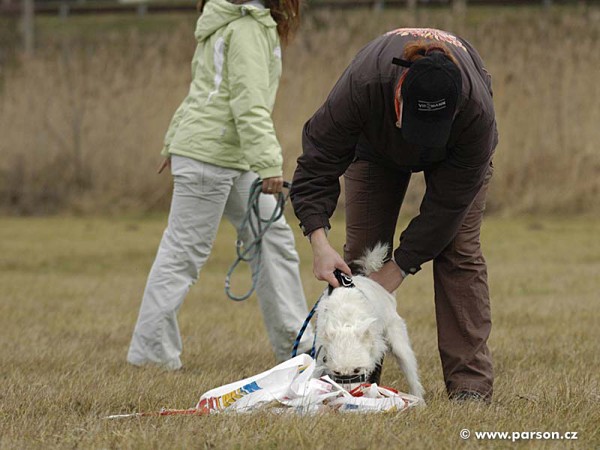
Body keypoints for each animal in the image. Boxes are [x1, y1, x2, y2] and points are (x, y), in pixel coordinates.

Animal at [316, 244, 424, 400]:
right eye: (336, 372)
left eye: (357, 370)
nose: (349, 396)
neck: (346, 322)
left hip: (399, 345)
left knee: (411, 373)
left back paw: (419, 399)